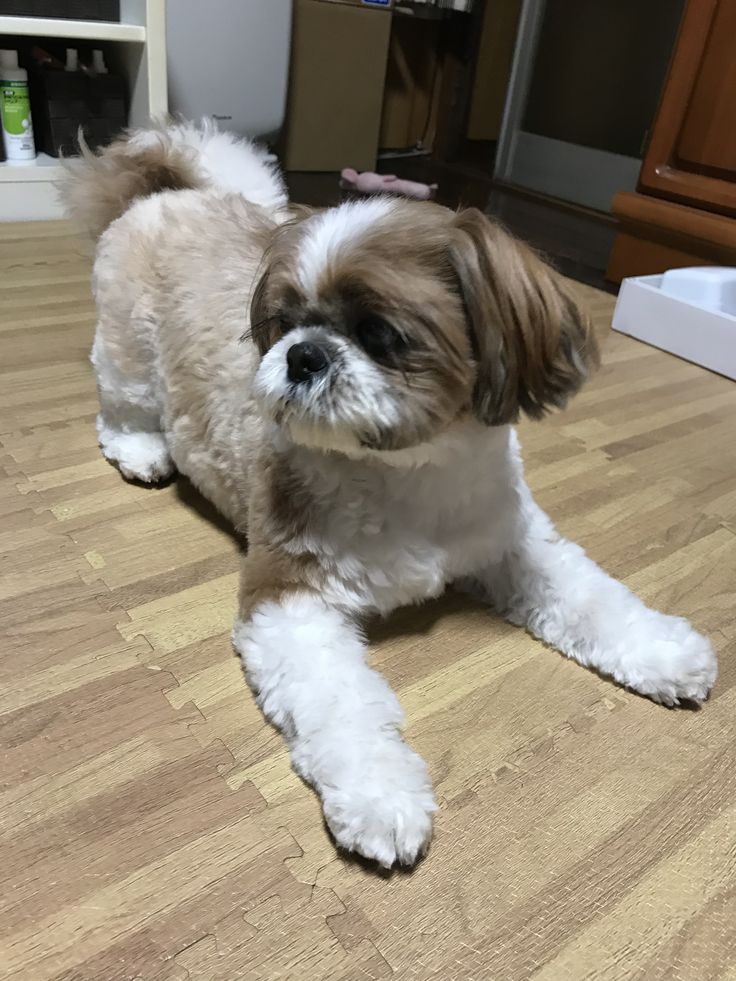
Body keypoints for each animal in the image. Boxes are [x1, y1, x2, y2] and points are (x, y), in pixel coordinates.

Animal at [64, 120, 720, 864]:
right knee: (119, 405)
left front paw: (664, 651)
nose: (302, 353)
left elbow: (591, 599)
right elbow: (342, 701)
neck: (411, 474)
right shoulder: (288, 596)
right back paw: (141, 450)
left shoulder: (512, 540)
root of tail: (171, 192)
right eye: (282, 321)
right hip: (127, 353)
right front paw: (380, 796)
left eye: (379, 333)